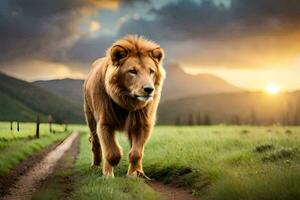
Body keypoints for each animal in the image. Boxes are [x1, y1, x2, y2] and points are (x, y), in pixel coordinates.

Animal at [83, 35, 165, 177]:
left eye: (151, 71)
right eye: (132, 71)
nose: (149, 89)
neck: (127, 101)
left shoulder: (143, 124)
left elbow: (136, 153)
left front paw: (135, 173)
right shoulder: (105, 122)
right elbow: (111, 152)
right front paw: (109, 174)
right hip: (91, 118)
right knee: (96, 143)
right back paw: (96, 166)